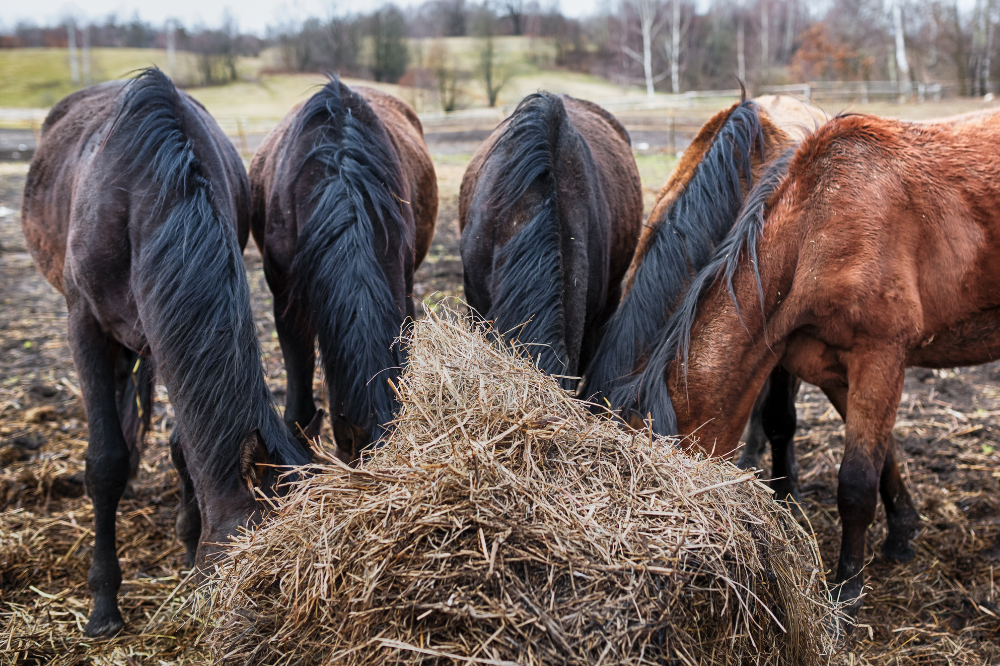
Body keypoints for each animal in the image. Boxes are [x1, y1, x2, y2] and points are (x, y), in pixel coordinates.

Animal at [20, 70, 312, 636]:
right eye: (261, 580)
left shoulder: (162, 325)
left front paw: (187, 544)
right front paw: (104, 605)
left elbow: (181, 447)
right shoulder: (83, 325)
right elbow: (104, 461)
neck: (141, 193)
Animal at [624, 106, 1000, 616]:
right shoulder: (835, 369)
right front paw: (902, 533)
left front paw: (847, 590)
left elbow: (856, 483)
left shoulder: (880, 357)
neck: (818, 226)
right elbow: (883, 457)